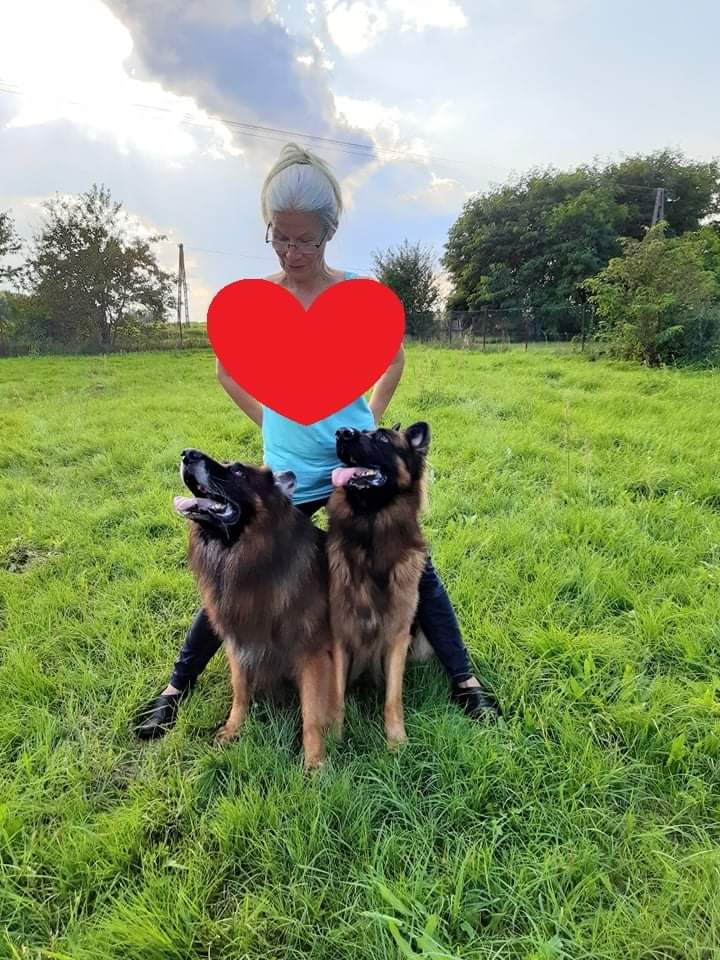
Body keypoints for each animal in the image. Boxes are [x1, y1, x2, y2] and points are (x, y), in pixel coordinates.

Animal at [173, 449, 335, 770]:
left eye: (237, 472)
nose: (187, 454)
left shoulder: (313, 655)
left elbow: (312, 714)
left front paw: (314, 764)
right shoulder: (238, 642)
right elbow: (240, 693)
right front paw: (232, 730)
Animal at [326, 421, 431, 748]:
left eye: (383, 438)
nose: (341, 433)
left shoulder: (398, 635)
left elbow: (392, 698)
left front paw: (396, 741)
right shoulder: (340, 635)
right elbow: (336, 695)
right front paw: (334, 737)